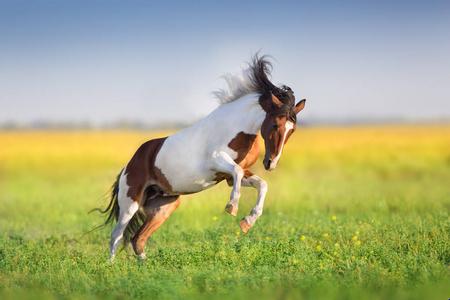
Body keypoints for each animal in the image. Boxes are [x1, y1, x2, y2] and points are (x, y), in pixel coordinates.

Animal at [102, 55, 306, 260]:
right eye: (275, 124)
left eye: (292, 130)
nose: (271, 163)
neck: (235, 127)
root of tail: (129, 165)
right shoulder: (217, 161)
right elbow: (238, 172)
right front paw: (232, 207)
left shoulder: (229, 177)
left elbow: (262, 184)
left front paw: (247, 222)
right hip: (130, 203)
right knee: (116, 236)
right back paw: (111, 265)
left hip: (164, 206)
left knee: (138, 239)